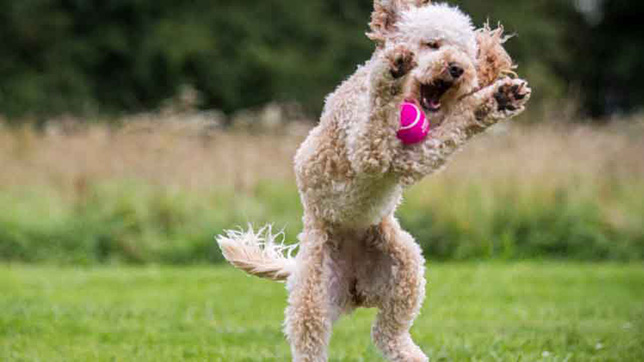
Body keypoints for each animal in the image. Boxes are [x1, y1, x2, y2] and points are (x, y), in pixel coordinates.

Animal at [219, 1, 532, 360]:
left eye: (465, 52)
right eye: (433, 44)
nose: (456, 69)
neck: (410, 101)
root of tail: (356, 289)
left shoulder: (413, 156)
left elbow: (456, 123)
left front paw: (497, 100)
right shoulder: (368, 146)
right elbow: (378, 112)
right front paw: (392, 70)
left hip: (406, 272)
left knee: (388, 334)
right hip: (314, 293)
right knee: (313, 340)